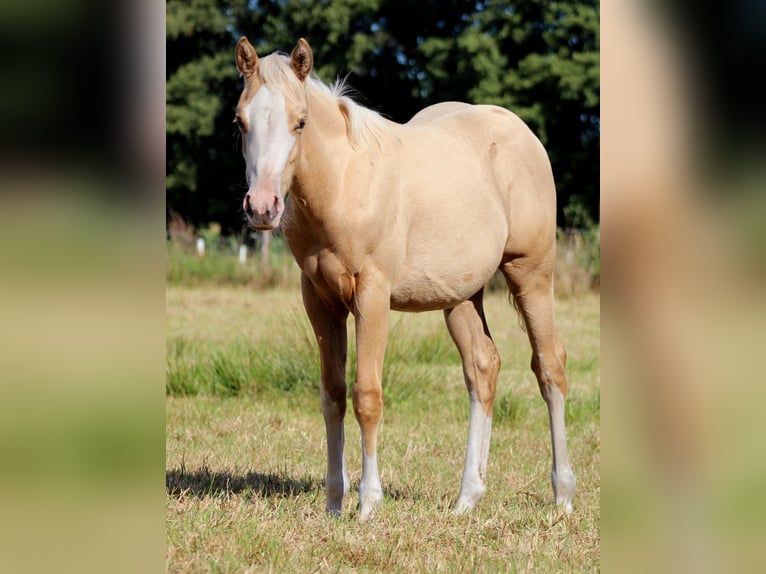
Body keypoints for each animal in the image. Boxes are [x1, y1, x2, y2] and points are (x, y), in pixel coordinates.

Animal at [233, 36, 576, 520]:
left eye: (300, 122)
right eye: (239, 121)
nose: (262, 208)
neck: (345, 183)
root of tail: (518, 130)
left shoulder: (372, 295)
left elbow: (367, 396)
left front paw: (368, 504)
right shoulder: (320, 301)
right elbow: (332, 395)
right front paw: (334, 503)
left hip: (531, 274)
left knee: (549, 368)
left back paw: (562, 496)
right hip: (461, 296)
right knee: (483, 368)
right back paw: (467, 498)